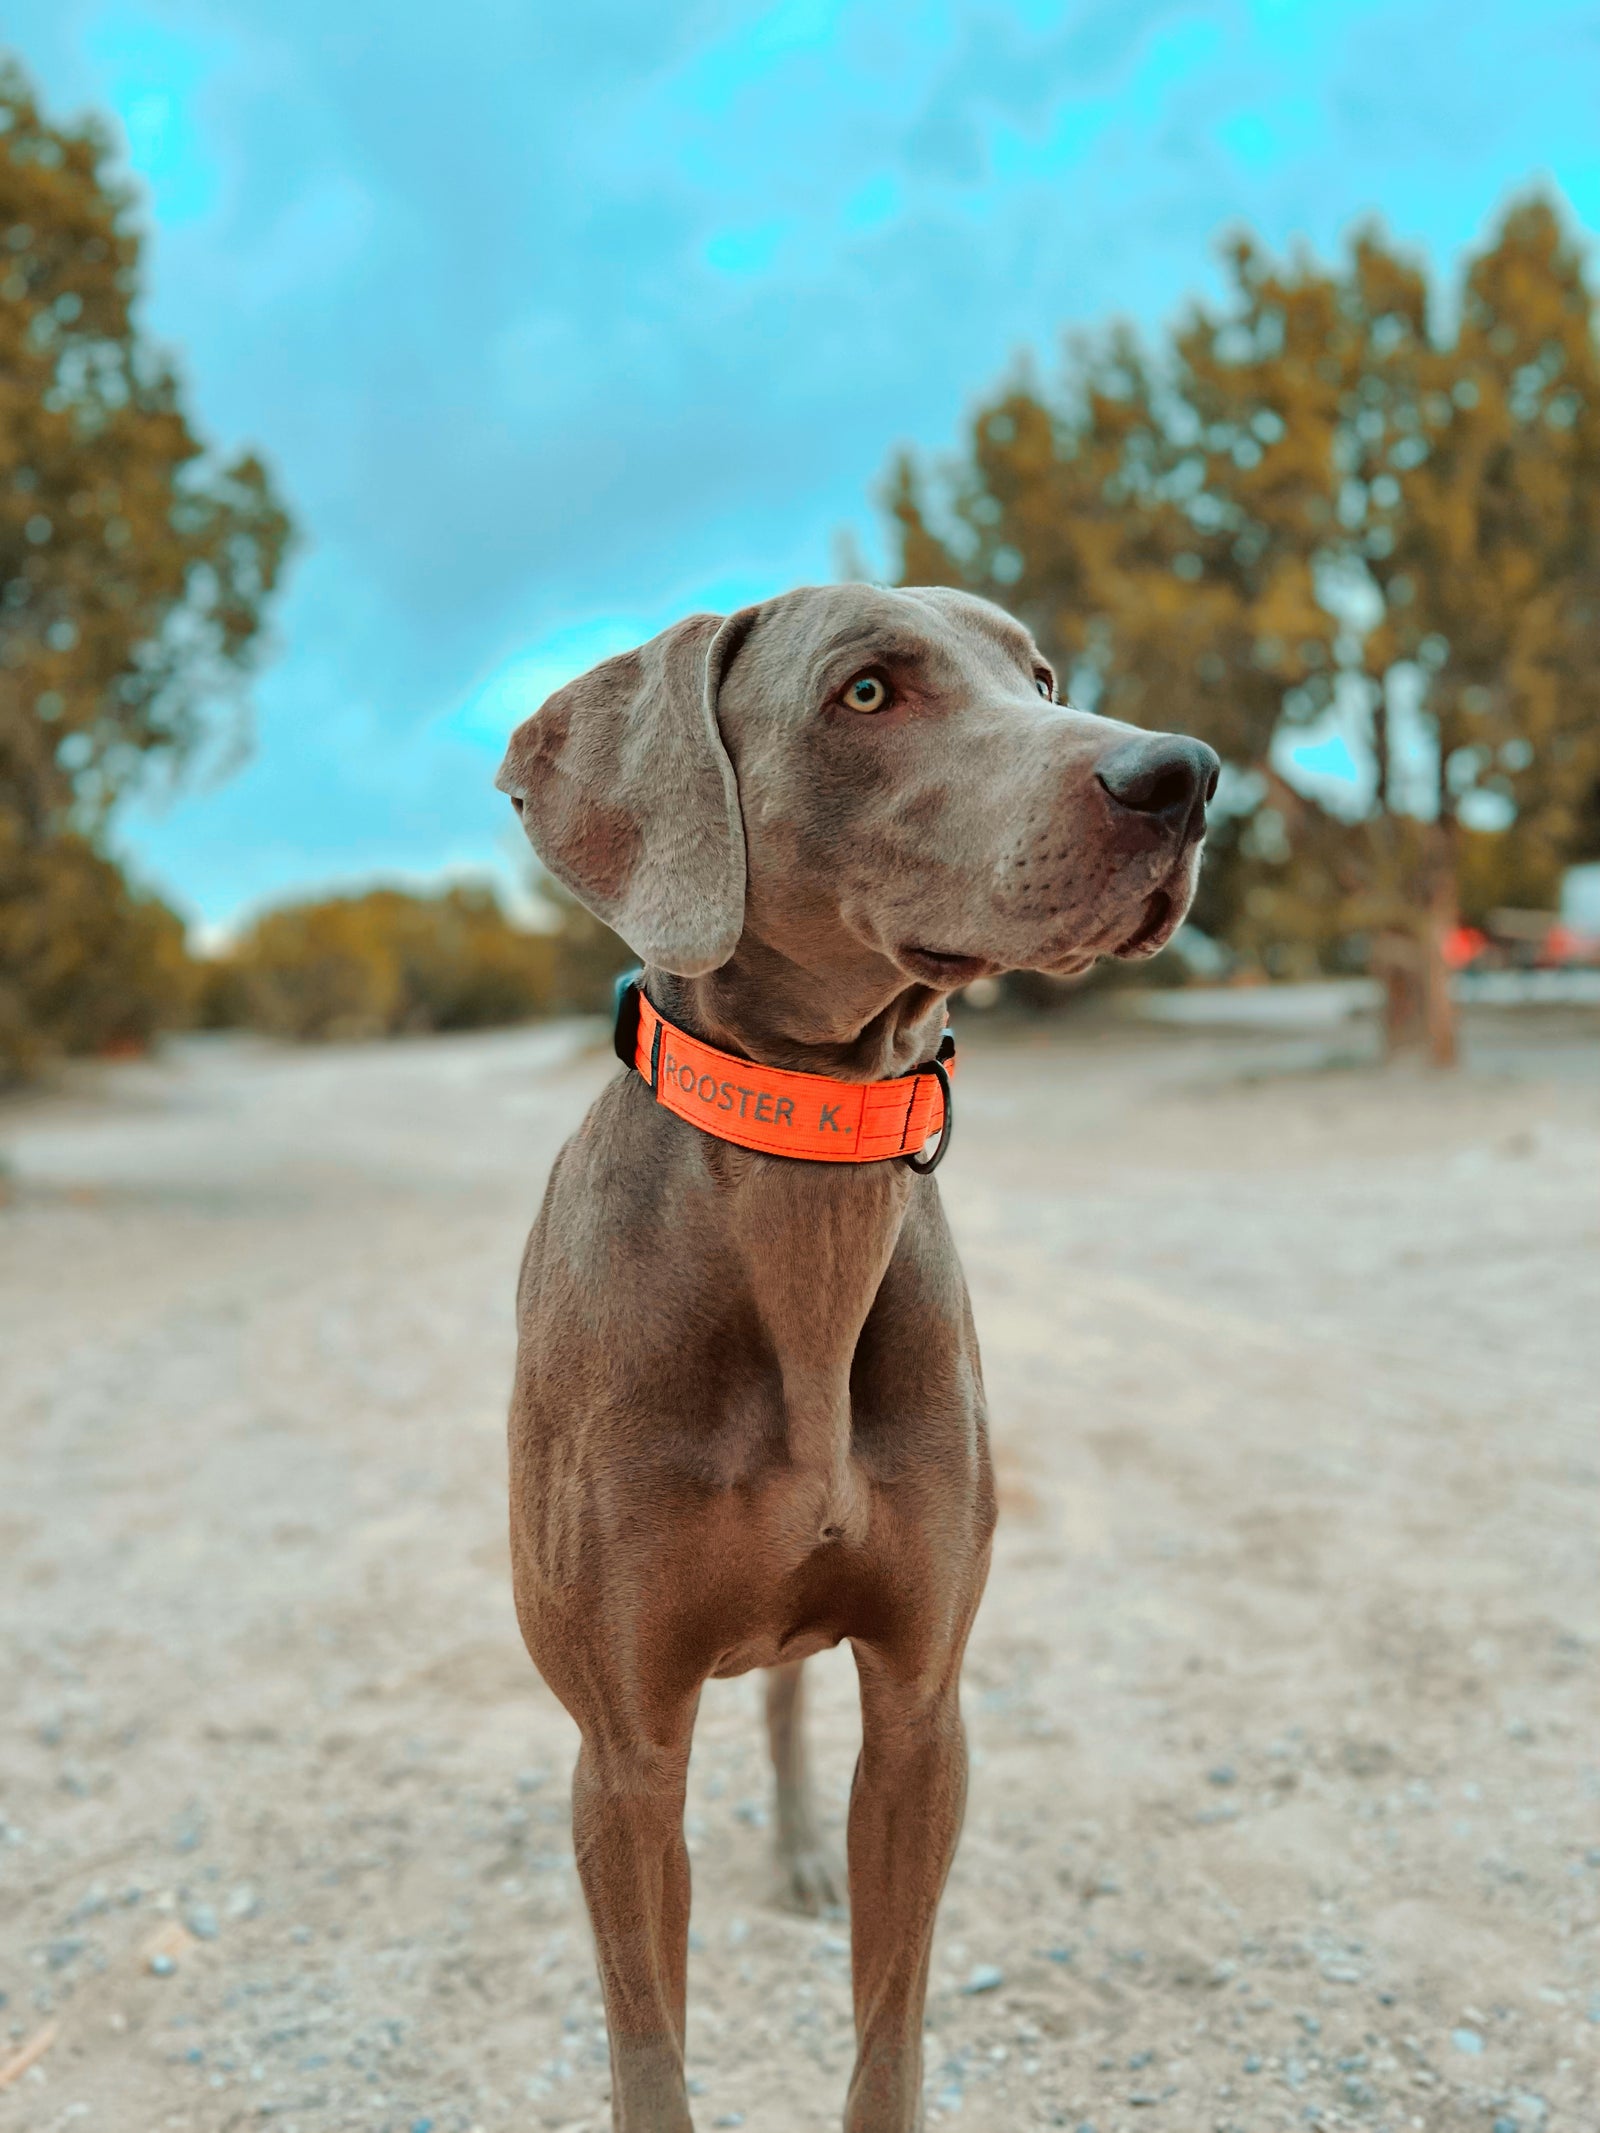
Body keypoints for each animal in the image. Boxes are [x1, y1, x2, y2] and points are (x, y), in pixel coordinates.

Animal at [494, 584, 1220, 2133]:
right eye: (869, 692)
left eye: (1040, 677)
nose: (1182, 776)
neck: (811, 1174)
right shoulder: (625, 1756)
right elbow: (650, 2053)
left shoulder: (922, 1710)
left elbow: (889, 2035)